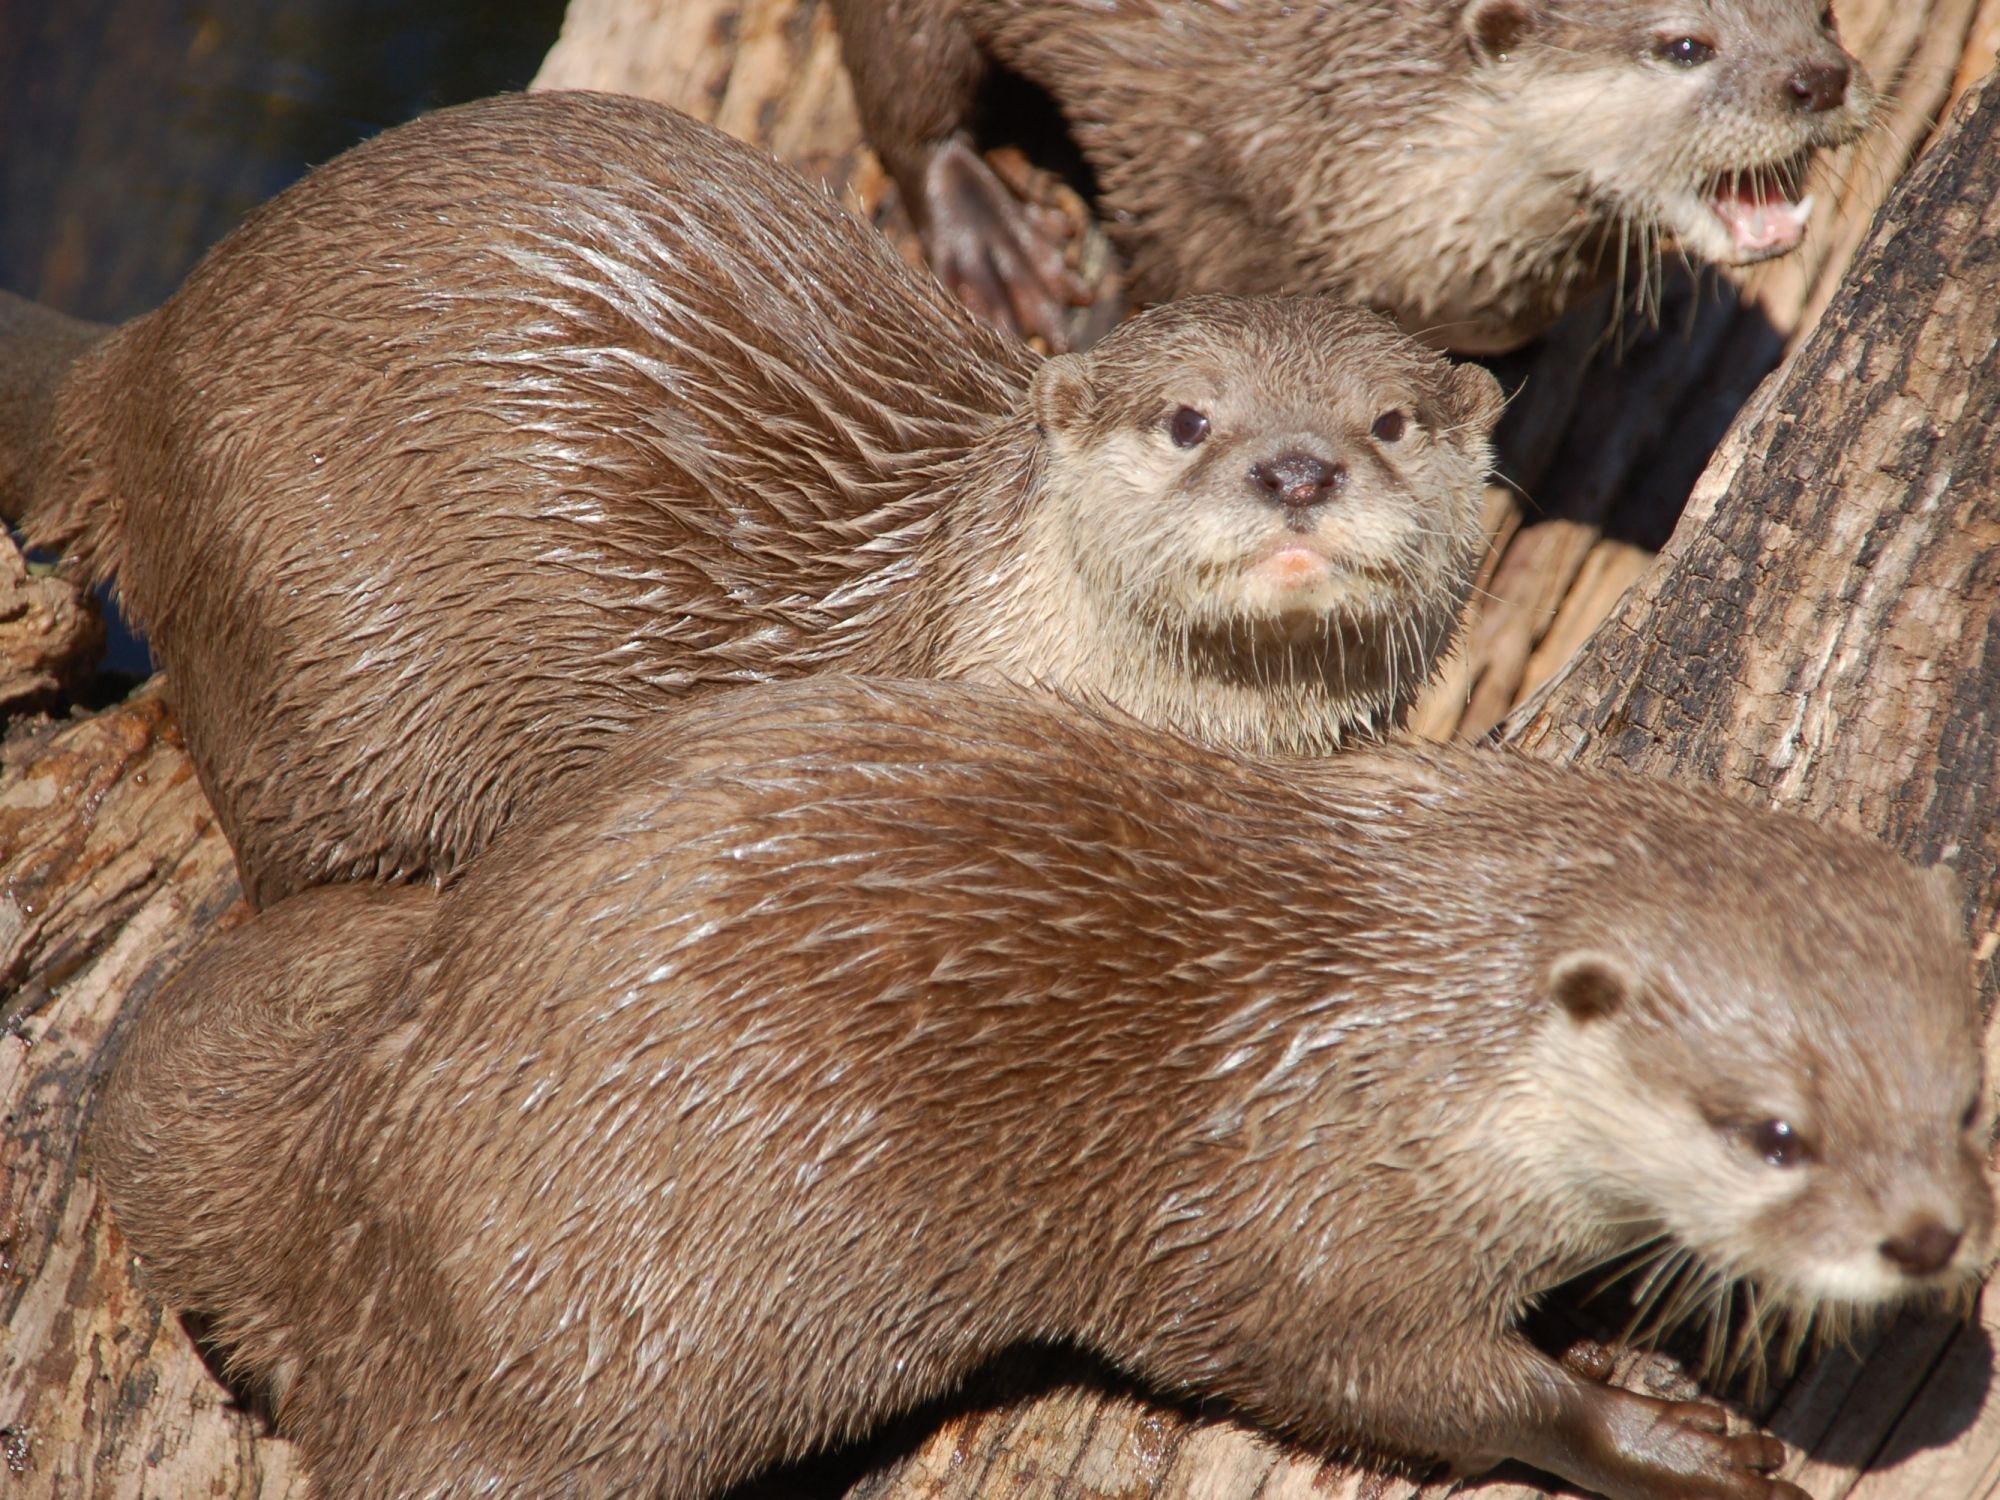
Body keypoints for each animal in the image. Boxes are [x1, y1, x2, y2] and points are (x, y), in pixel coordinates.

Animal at [94, 677, 1992, 1500]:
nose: (1924, 1242)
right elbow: (1414, 1383)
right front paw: (1667, 1437)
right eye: (1772, 1132)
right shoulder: (1292, 1226)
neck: (1407, 1042)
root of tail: (343, 1185)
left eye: (1966, 1101)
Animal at [828, 0, 1873, 352]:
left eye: (1824, 14)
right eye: (1685, 45)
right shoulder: (1198, 206)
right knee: (907, 98)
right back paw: (998, 251)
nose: (1818, 78)